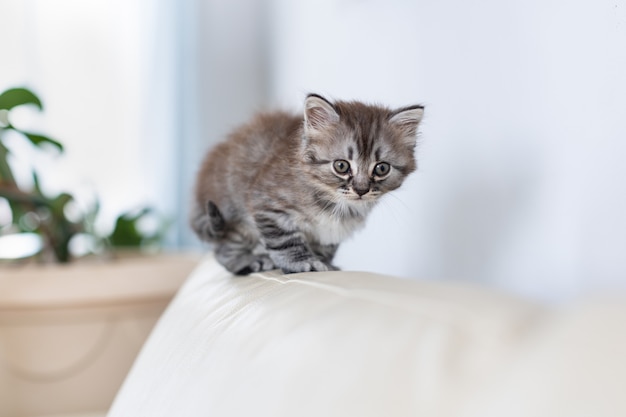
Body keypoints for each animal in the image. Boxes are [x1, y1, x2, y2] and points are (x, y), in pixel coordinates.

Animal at [190, 93, 424, 274]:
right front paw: (303, 263)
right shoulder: (266, 204)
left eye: (381, 168)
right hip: (232, 214)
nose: (361, 190)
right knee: (223, 250)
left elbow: (325, 248)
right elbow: (286, 240)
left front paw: (324, 263)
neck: (337, 203)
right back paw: (248, 261)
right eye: (341, 166)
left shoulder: (331, 232)